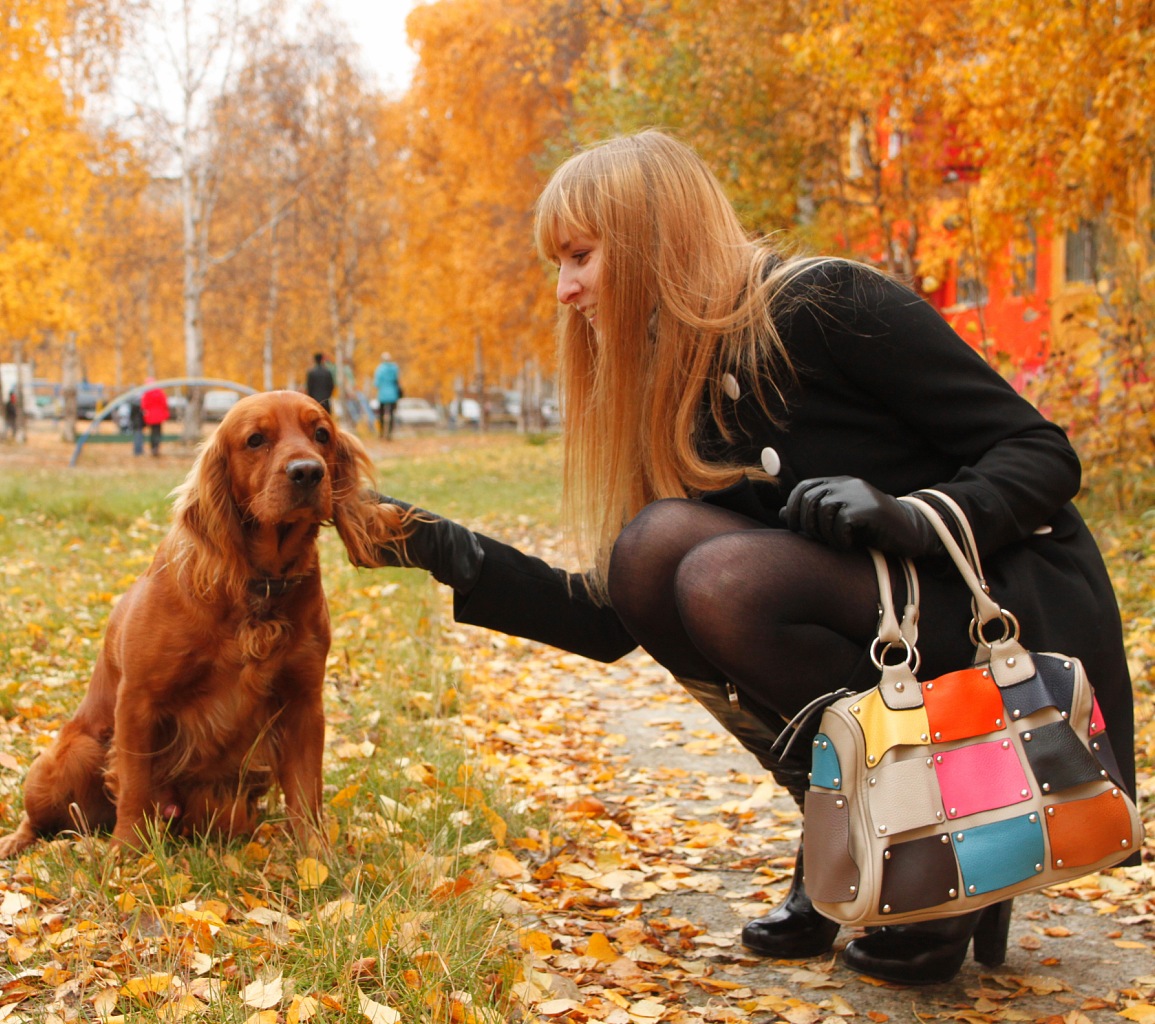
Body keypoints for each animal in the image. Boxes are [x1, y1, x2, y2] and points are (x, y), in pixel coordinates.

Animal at [0, 390, 404, 855]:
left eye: (321, 433)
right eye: (255, 439)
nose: (307, 471)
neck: (258, 585)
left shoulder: (304, 704)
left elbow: (306, 794)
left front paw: (317, 856)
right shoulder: (138, 699)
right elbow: (134, 784)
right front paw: (127, 854)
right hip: (71, 756)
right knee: (40, 819)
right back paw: (16, 843)